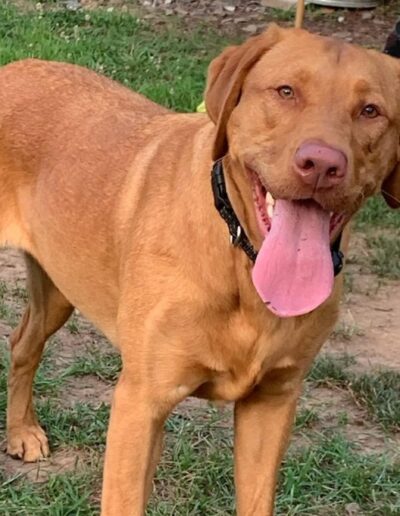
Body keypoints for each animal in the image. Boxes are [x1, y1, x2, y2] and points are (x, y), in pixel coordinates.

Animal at [0, 24, 400, 516]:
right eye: (286, 91)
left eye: (371, 111)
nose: (322, 165)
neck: (242, 266)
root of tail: (15, 67)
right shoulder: (141, 402)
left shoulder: (272, 402)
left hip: (59, 286)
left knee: (24, 342)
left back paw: (21, 431)